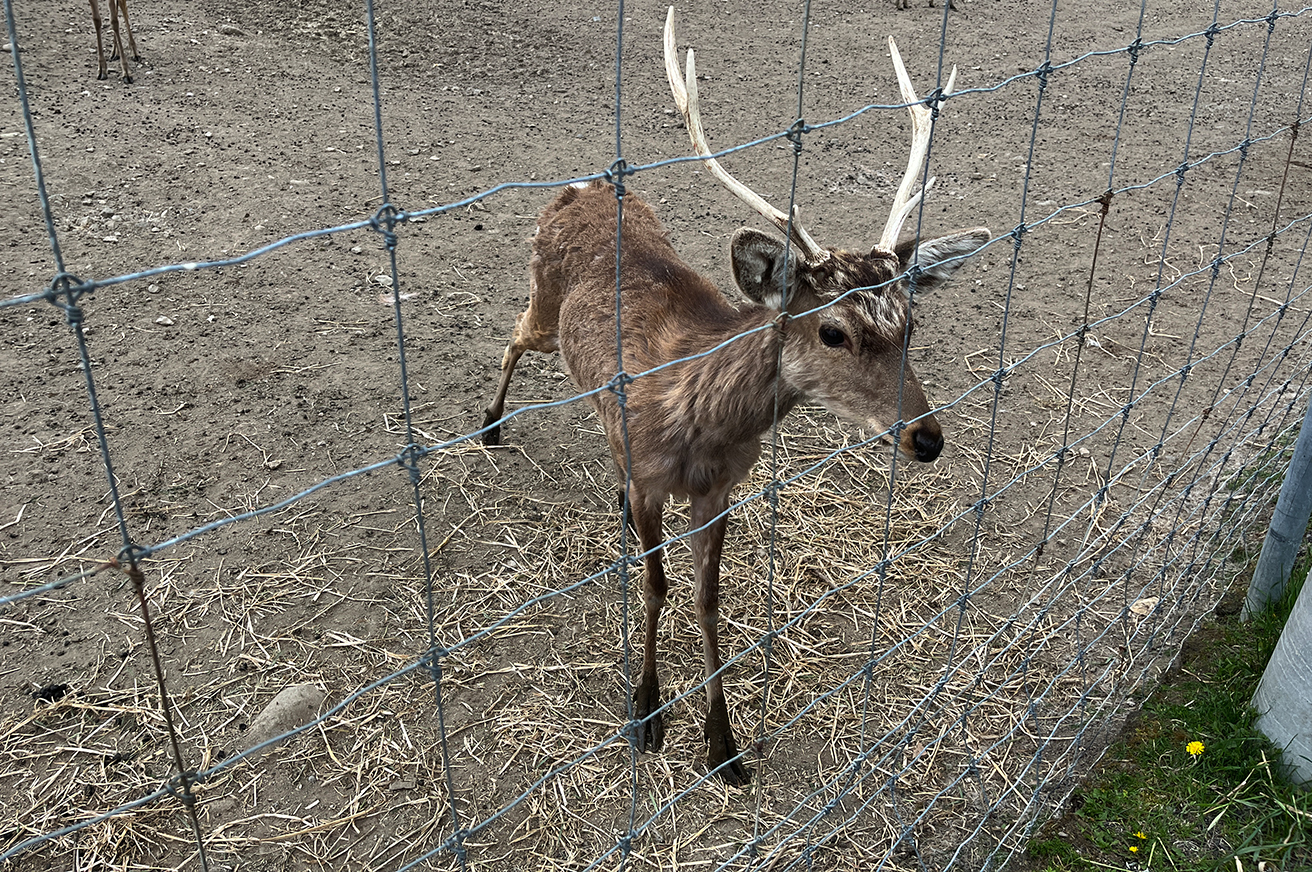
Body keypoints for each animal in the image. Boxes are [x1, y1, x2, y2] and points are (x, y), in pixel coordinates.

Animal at [480, 7, 989, 785]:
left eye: (911, 321)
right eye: (833, 330)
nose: (926, 438)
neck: (698, 422)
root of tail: (585, 187)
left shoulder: (721, 489)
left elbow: (709, 595)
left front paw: (725, 746)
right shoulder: (652, 476)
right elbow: (656, 584)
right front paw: (647, 711)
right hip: (541, 303)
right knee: (510, 335)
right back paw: (490, 424)